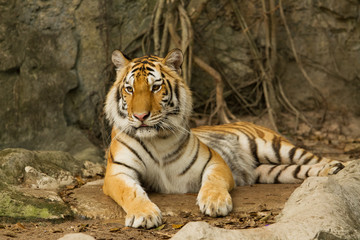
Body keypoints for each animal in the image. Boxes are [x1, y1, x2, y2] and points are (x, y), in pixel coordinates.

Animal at [102, 48, 348, 229]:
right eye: (129, 89)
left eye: (155, 87)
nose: (140, 116)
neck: (157, 139)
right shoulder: (118, 172)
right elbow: (131, 192)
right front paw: (144, 215)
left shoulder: (214, 161)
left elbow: (214, 181)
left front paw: (215, 202)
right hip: (271, 171)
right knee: (299, 170)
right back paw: (330, 171)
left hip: (274, 147)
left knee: (315, 158)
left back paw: (336, 167)